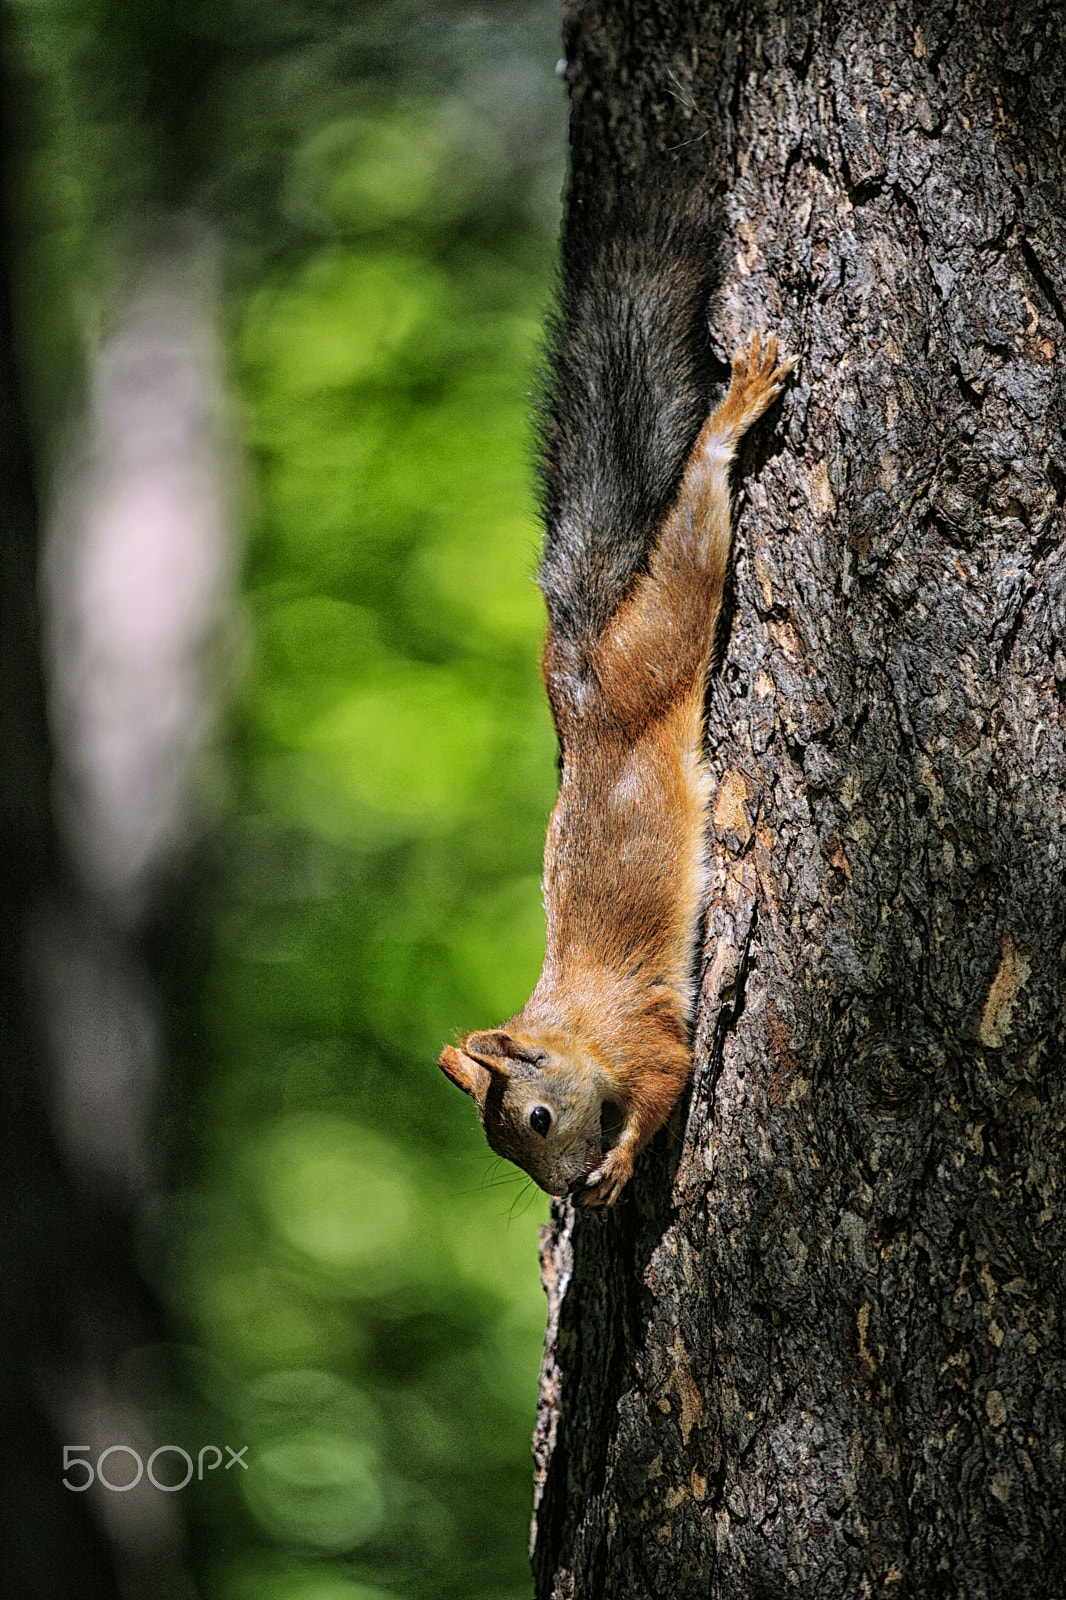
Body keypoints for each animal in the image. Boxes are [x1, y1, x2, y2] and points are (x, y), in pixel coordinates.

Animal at [439, 195, 794, 1207]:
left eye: (536, 1120)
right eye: (507, 1151)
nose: (561, 1192)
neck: (576, 1031)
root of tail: (584, 683)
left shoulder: (647, 1036)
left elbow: (673, 1076)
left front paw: (625, 1159)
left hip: (659, 648)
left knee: (691, 548)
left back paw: (732, 416)